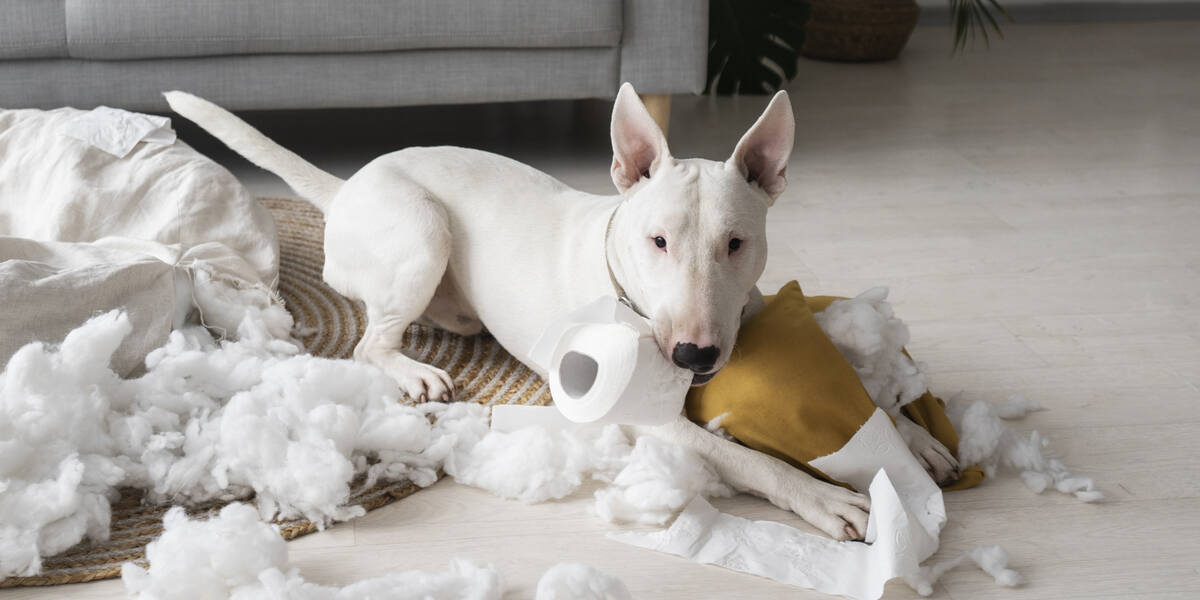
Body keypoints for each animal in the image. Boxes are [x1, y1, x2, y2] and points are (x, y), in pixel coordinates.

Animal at [164, 87, 878, 542]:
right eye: (658, 241)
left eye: (737, 243)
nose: (695, 356)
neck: (627, 291)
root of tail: (347, 189)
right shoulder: (642, 417)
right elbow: (753, 461)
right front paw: (828, 499)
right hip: (422, 229)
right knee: (370, 343)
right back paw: (415, 370)